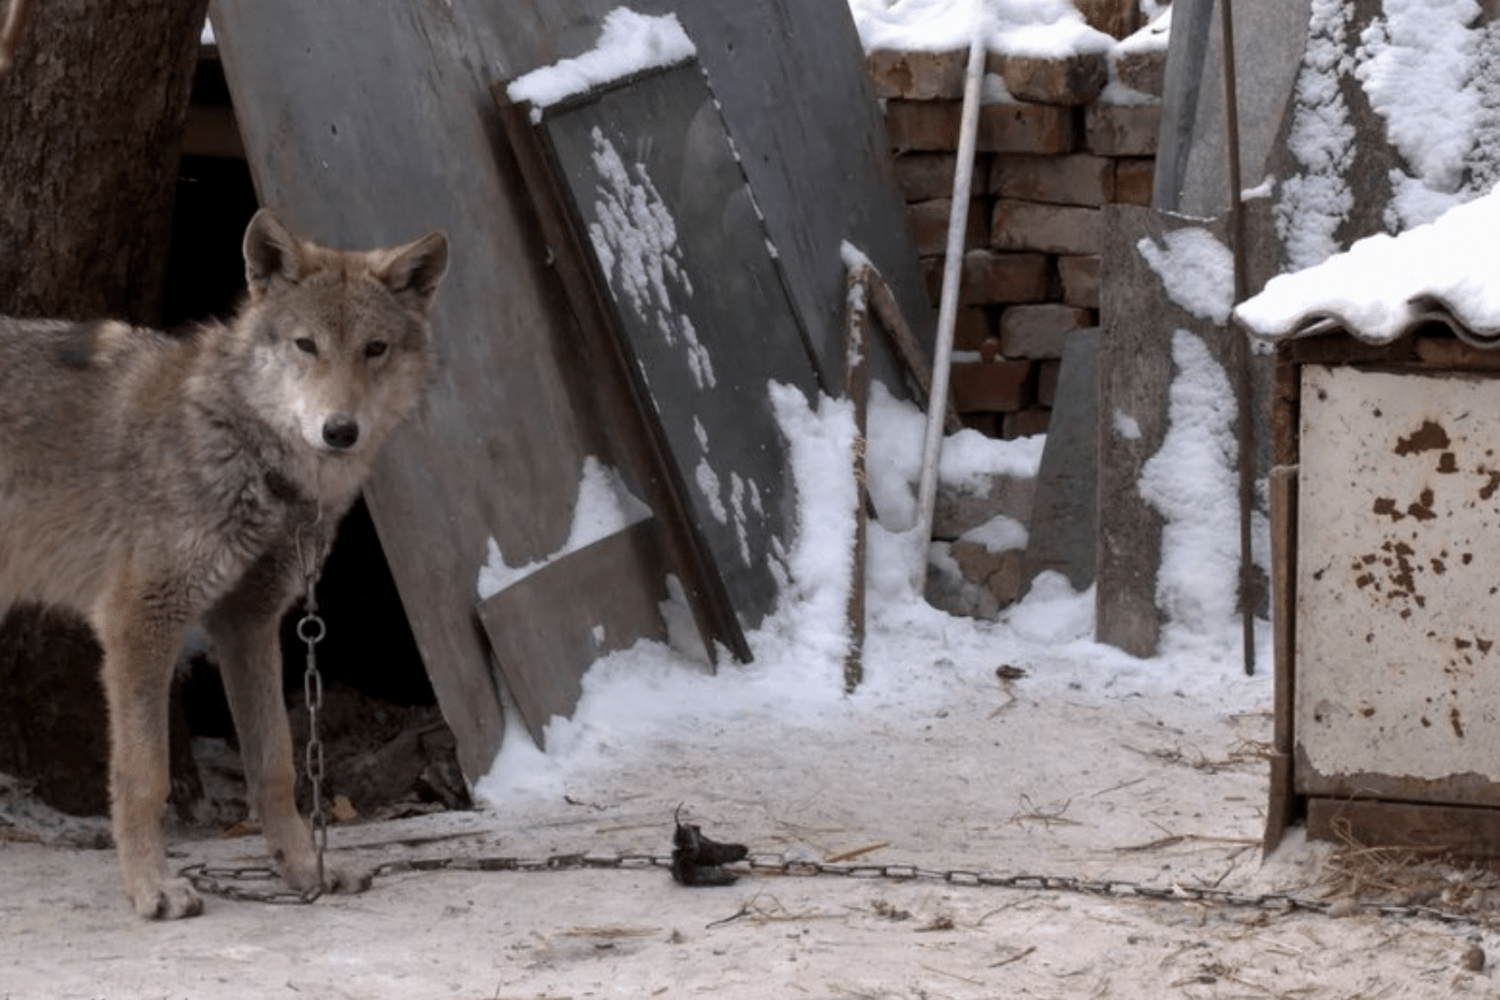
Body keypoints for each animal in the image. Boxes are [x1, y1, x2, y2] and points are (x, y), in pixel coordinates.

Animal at [0, 209, 444, 917]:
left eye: (374, 349)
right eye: (306, 345)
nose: (340, 430)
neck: (250, 456)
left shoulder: (248, 623)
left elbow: (277, 766)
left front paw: (305, 871)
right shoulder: (139, 620)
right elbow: (145, 777)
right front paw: (151, 888)